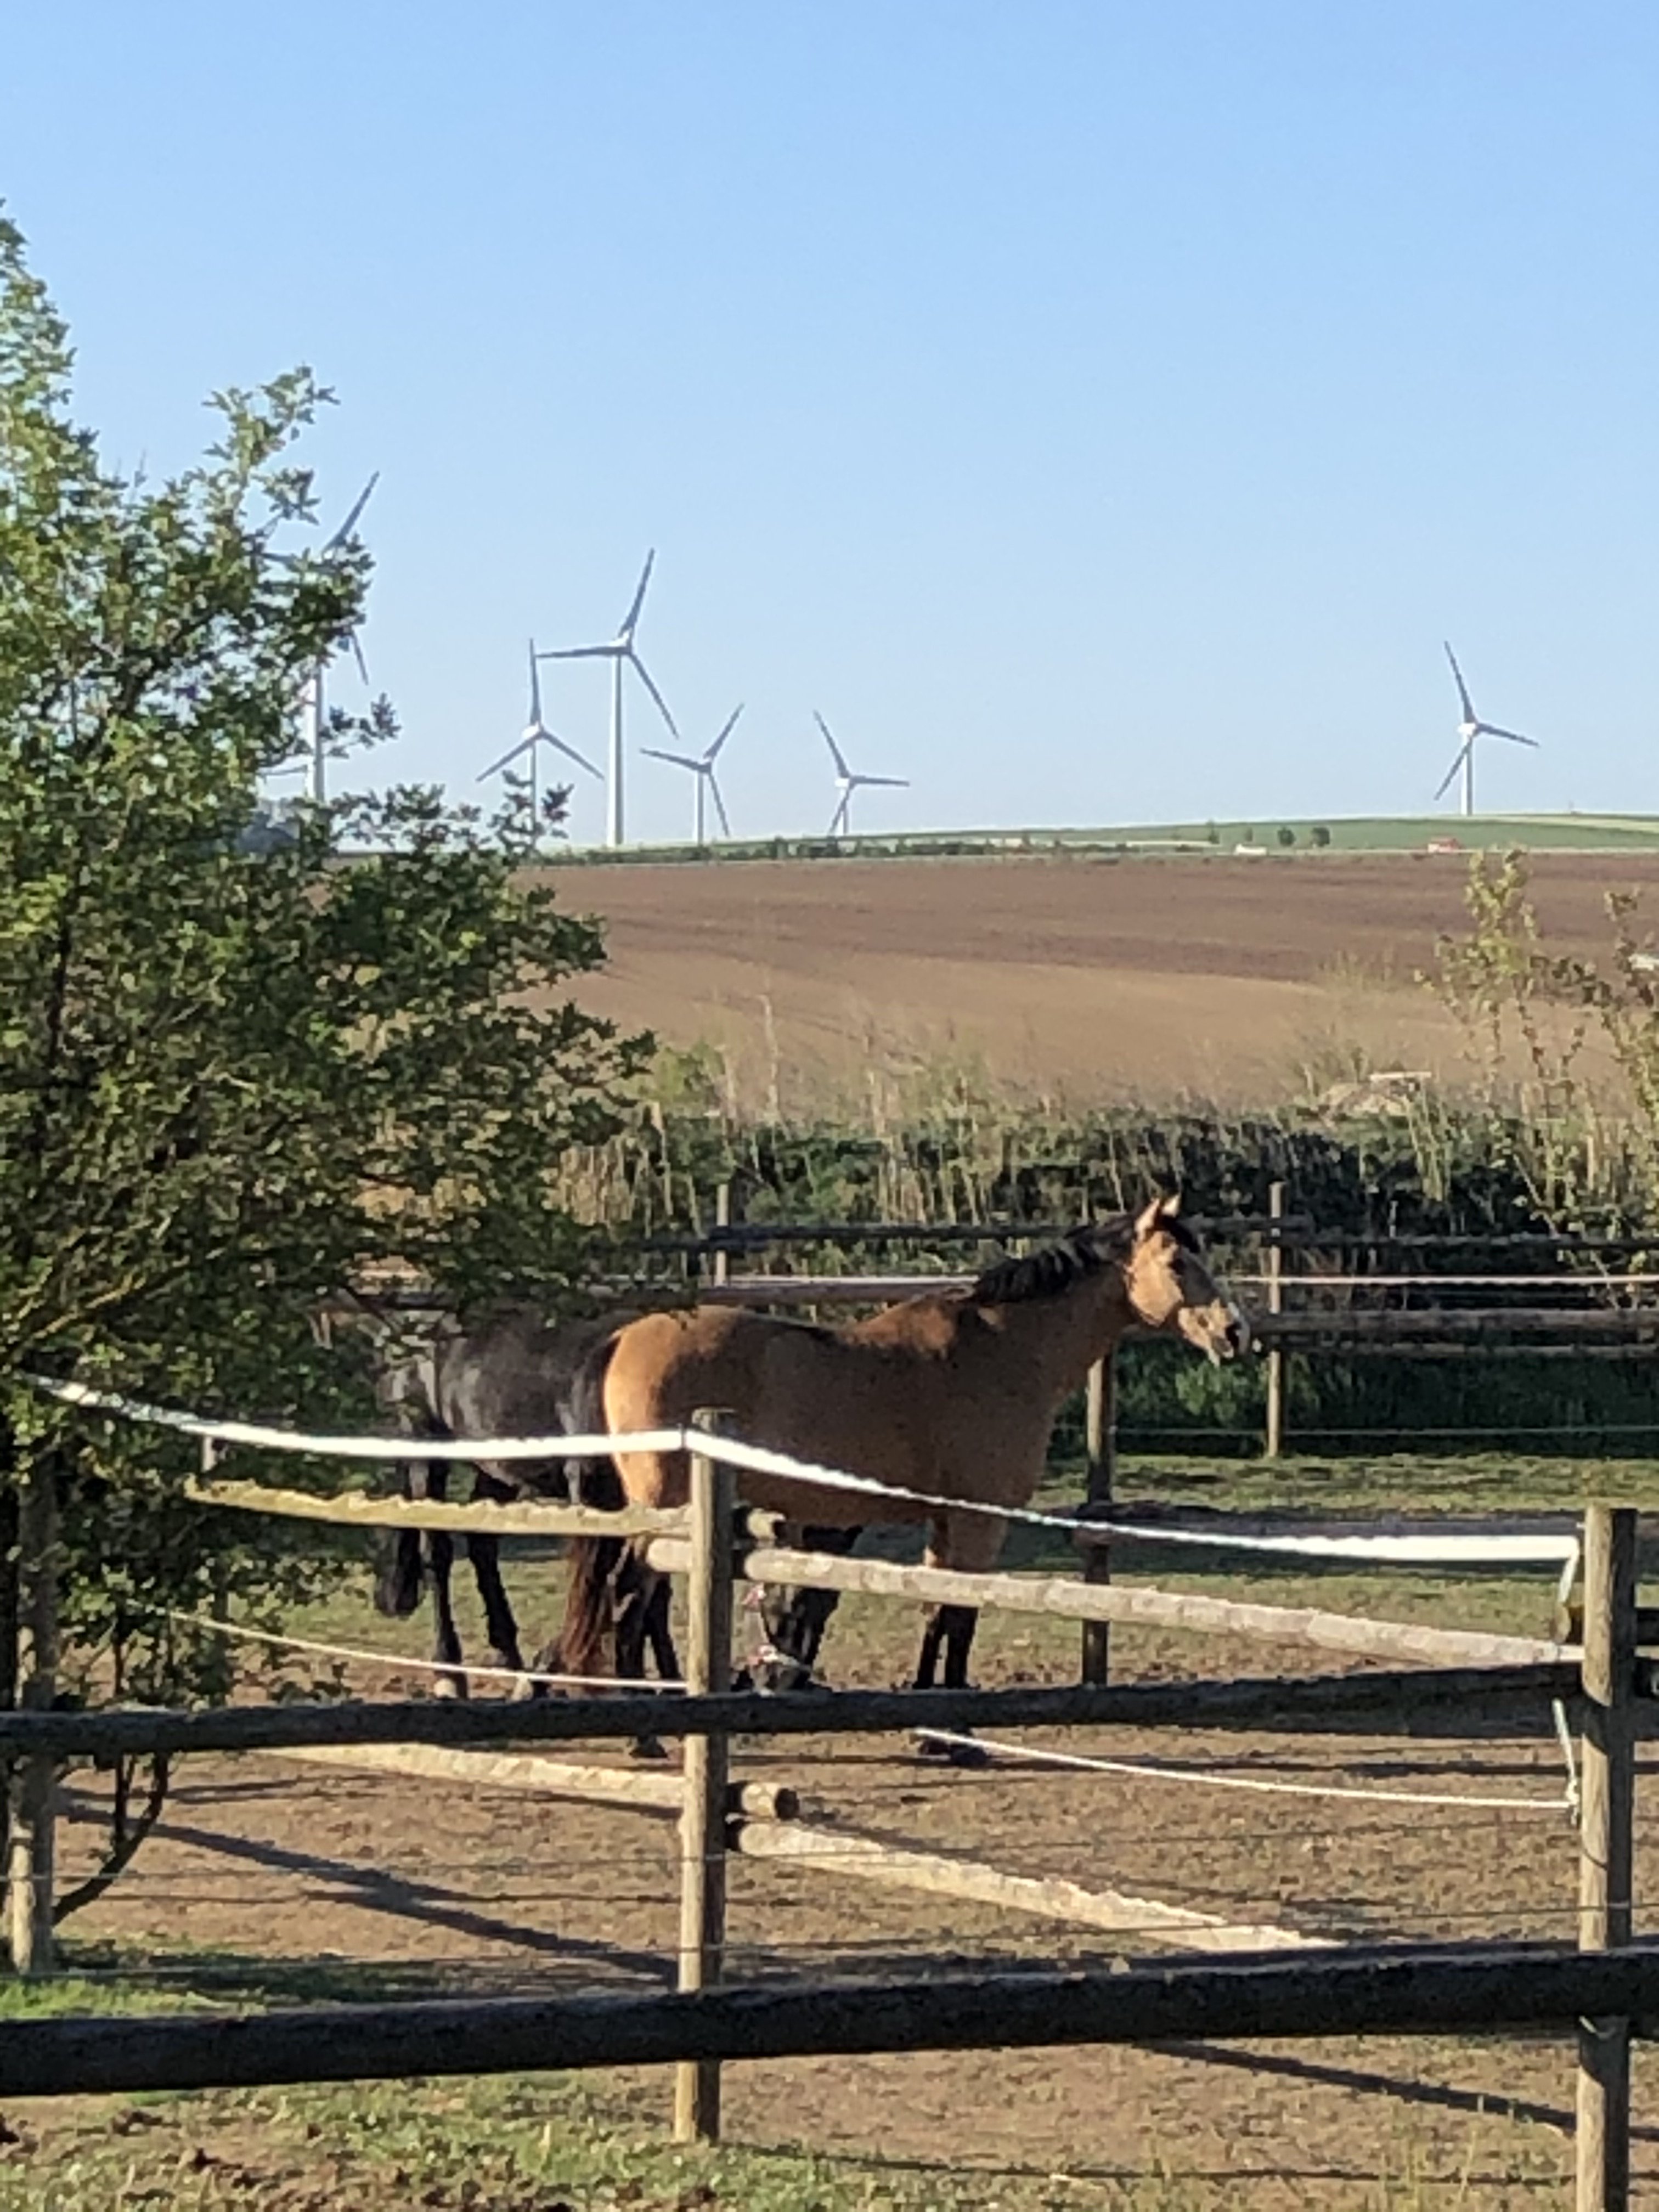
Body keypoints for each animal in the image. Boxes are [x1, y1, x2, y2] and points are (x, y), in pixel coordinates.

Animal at [553, 1203, 1256, 1716]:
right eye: (1177, 1260)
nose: (1235, 1332)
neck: (1002, 1350)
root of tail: (621, 1337)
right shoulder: (980, 1519)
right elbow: (960, 1616)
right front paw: (956, 1736)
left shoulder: (946, 1520)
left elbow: (935, 1610)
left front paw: (929, 1718)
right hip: (662, 1516)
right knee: (631, 1605)